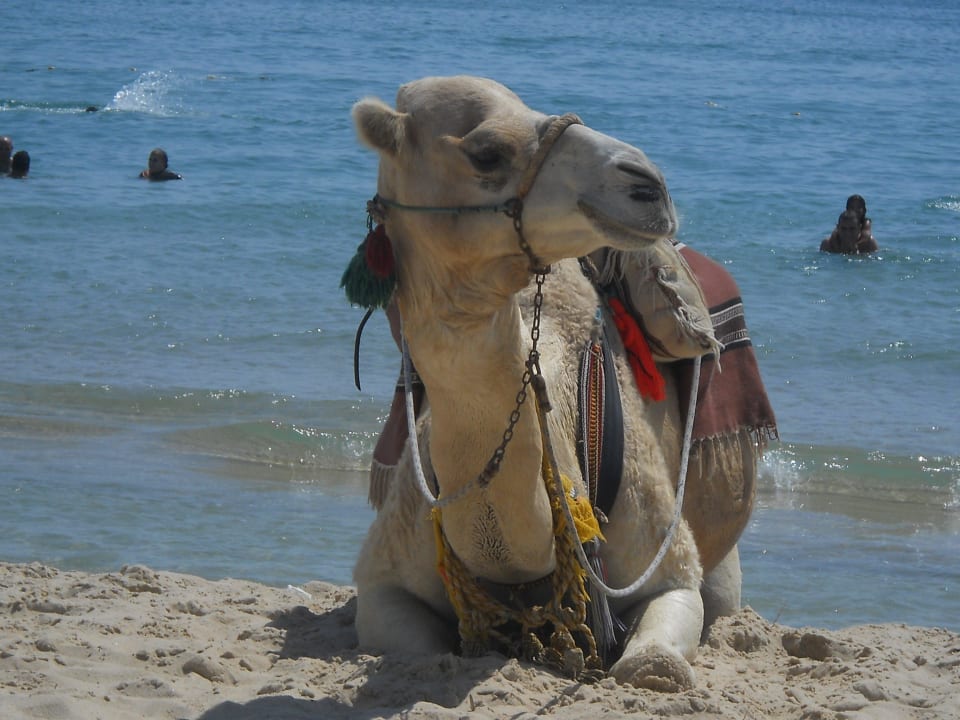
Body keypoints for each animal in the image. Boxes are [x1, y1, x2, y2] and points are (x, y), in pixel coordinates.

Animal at [349, 76, 768, 692]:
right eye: (486, 152)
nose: (648, 185)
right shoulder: (382, 579)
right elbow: (422, 653)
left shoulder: (671, 571)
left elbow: (652, 664)